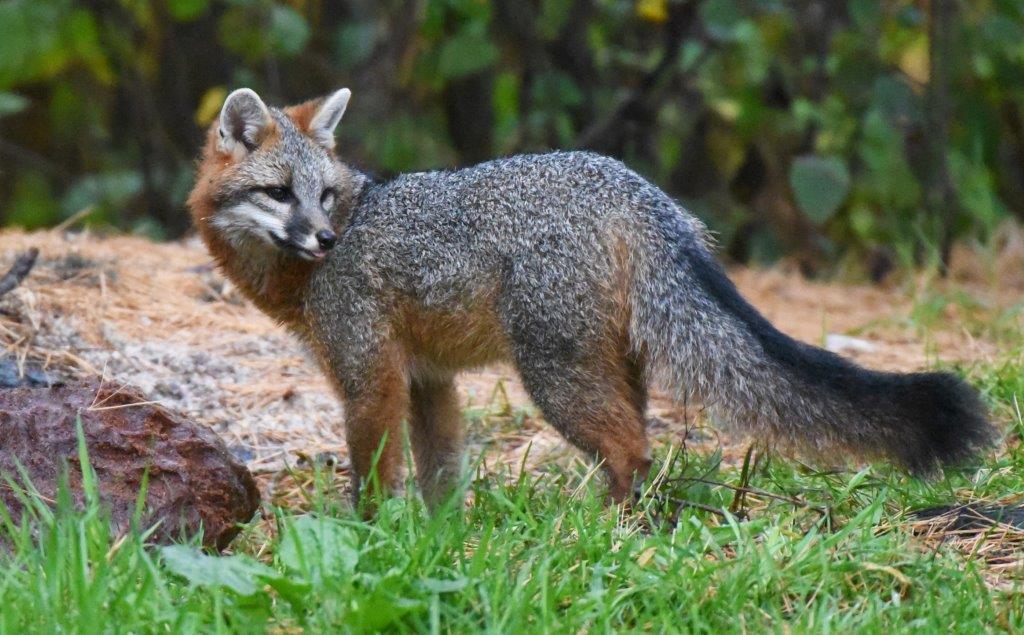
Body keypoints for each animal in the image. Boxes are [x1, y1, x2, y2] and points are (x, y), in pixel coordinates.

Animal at [188, 87, 996, 507]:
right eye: (280, 193)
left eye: (323, 196)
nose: (325, 238)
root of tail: (634, 187)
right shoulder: (428, 380)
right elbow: (441, 471)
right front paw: (442, 537)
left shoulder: (369, 377)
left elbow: (374, 473)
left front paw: (376, 536)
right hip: (610, 365)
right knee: (637, 446)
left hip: (554, 375)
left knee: (630, 447)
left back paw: (602, 531)